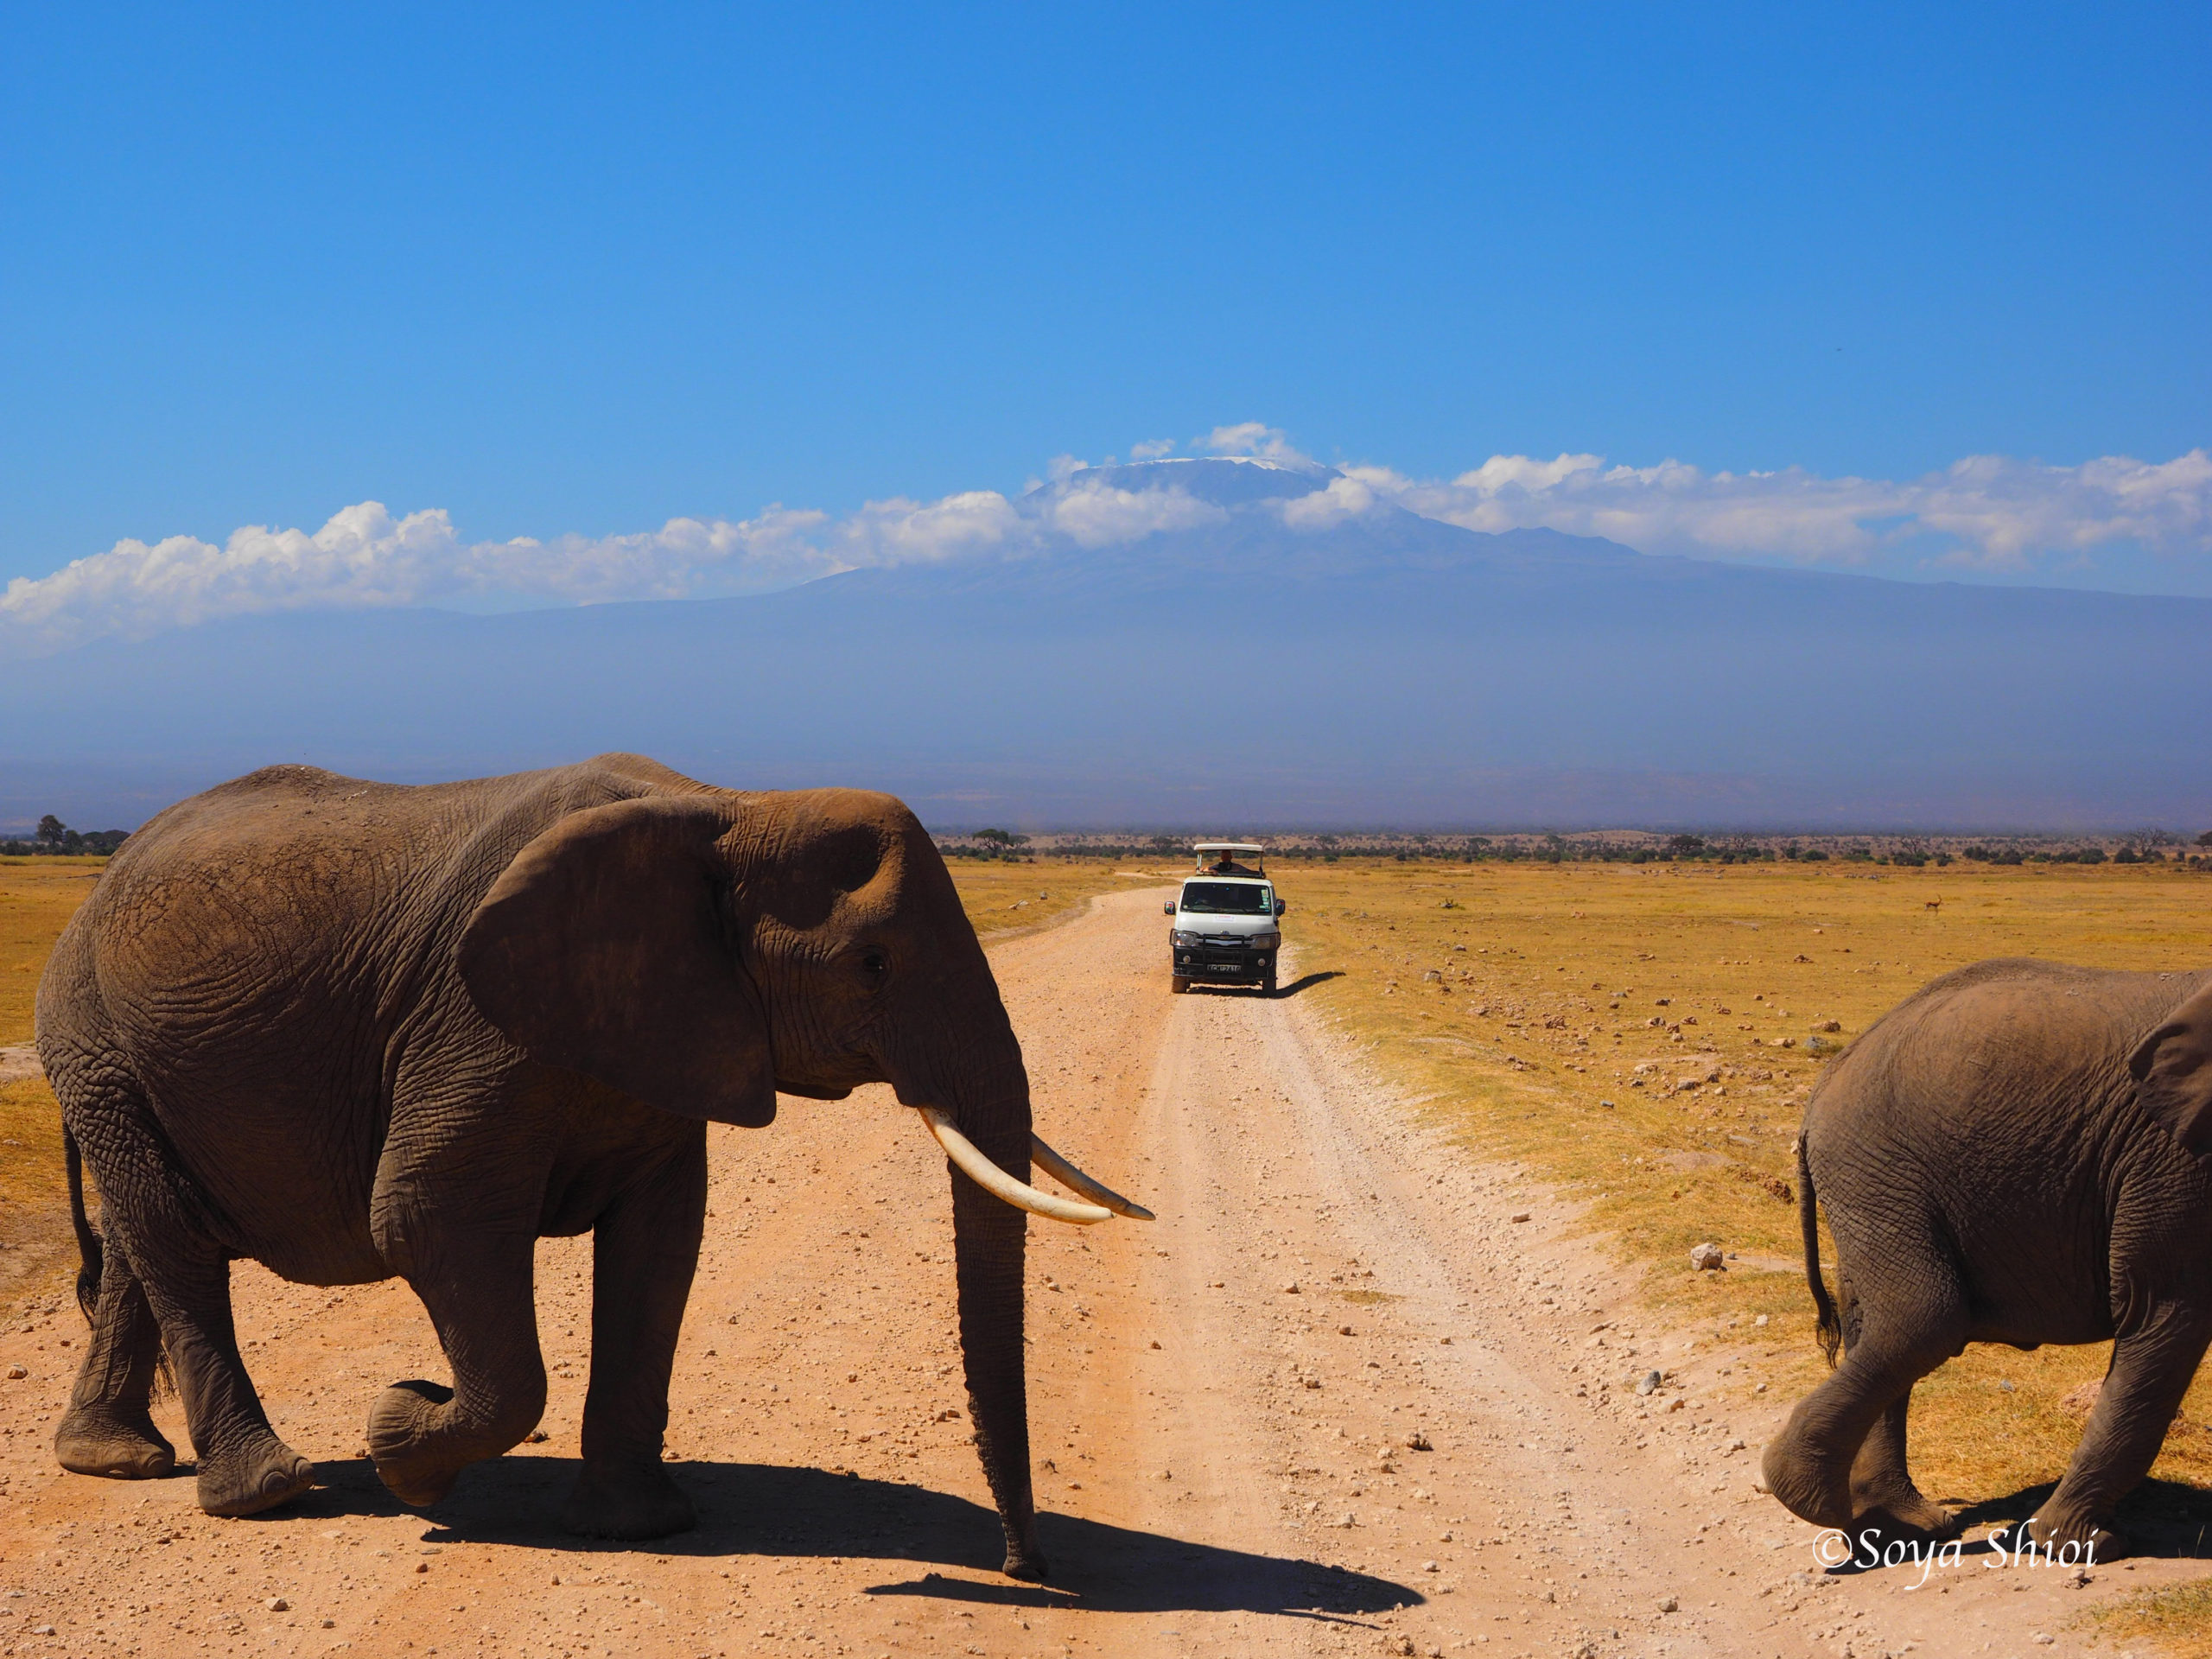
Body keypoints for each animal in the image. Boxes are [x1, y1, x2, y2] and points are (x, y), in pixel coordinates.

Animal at [39, 756, 1141, 1583]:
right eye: (871, 966)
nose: (1024, 1568)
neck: (734, 807)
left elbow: (662, 1243)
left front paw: (635, 1527)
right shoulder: (469, 1022)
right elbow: (424, 1216)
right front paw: (404, 1438)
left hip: (120, 1069)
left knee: (144, 1244)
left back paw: (115, 1462)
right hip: (98, 1048)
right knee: (174, 1244)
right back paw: (270, 1493)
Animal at [1760, 960, 2212, 1557]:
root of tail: (1820, 1093)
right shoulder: (2174, 1158)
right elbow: (2163, 1310)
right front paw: (2085, 1545)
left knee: (1871, 1323)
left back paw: (1895, 1524)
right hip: (1877, 1170)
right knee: (1921, 1319)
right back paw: (1811, 1498)